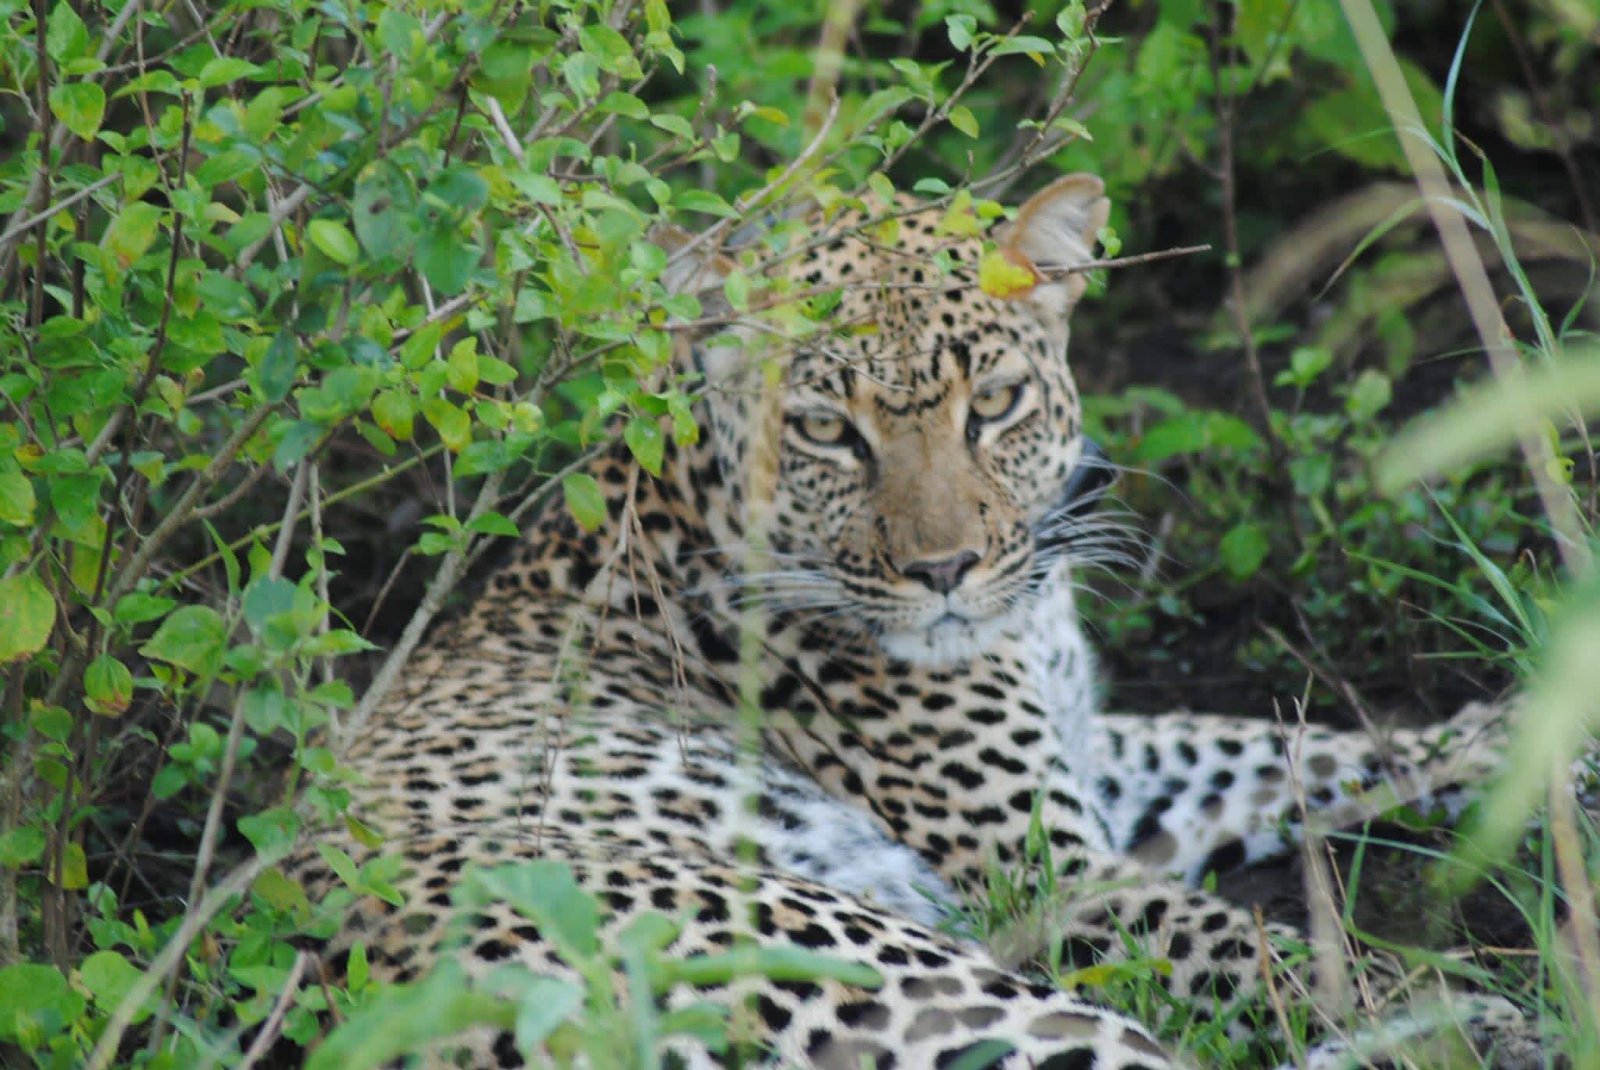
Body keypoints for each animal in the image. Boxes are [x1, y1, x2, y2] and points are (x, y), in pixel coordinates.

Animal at [300, 174, 1517, 1069]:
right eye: (825, 431)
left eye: (995, 406)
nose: (943, 571)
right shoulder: (1050, 868)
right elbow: (1258, 944)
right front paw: (1466, 1012)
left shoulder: (1098, 769)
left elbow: (1279, 746)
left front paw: (1507, 736)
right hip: (888, 968)